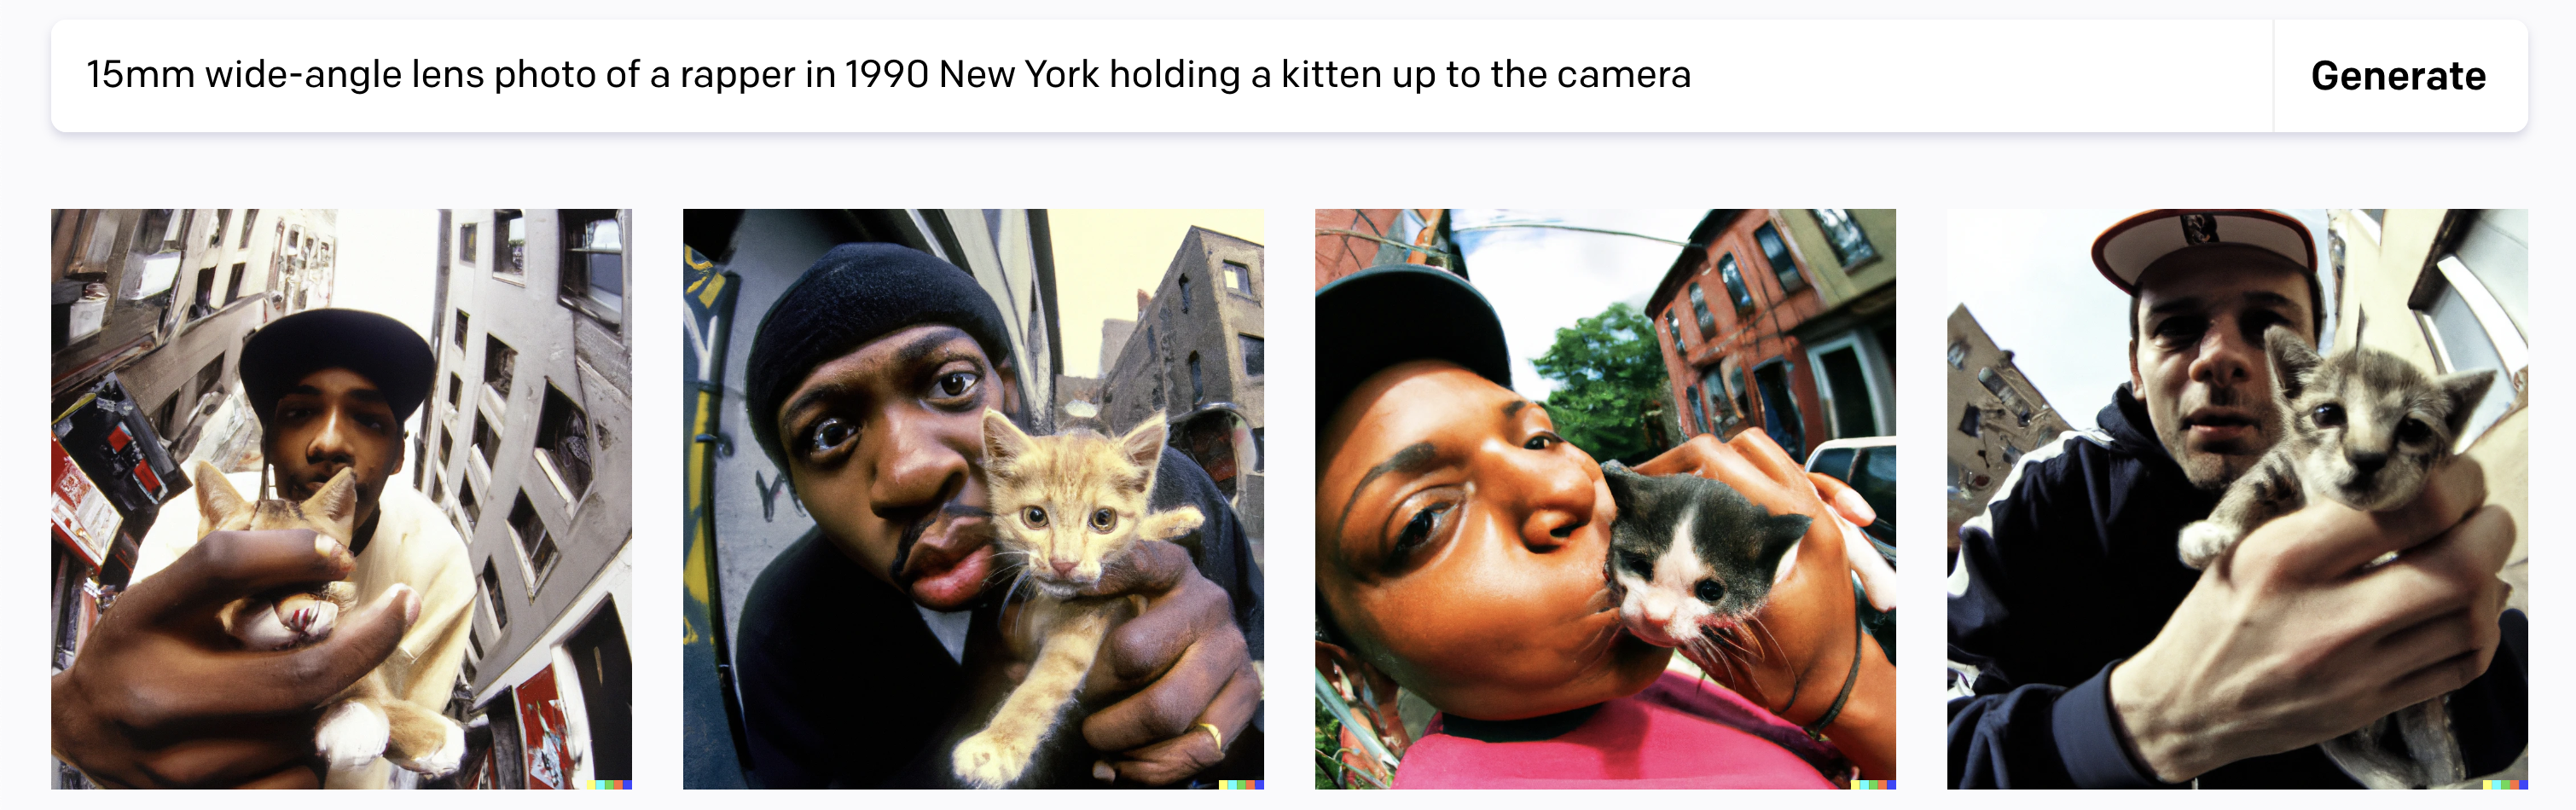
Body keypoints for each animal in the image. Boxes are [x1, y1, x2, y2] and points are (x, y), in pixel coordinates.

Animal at [2173, 325, 2493, 791]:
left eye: (2413, 428)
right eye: (2327, 413)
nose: (2366, 457)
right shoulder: (2280, 461)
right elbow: (2252, 485)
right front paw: (2211, 532)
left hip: (2422, 709)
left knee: (2434, 755)